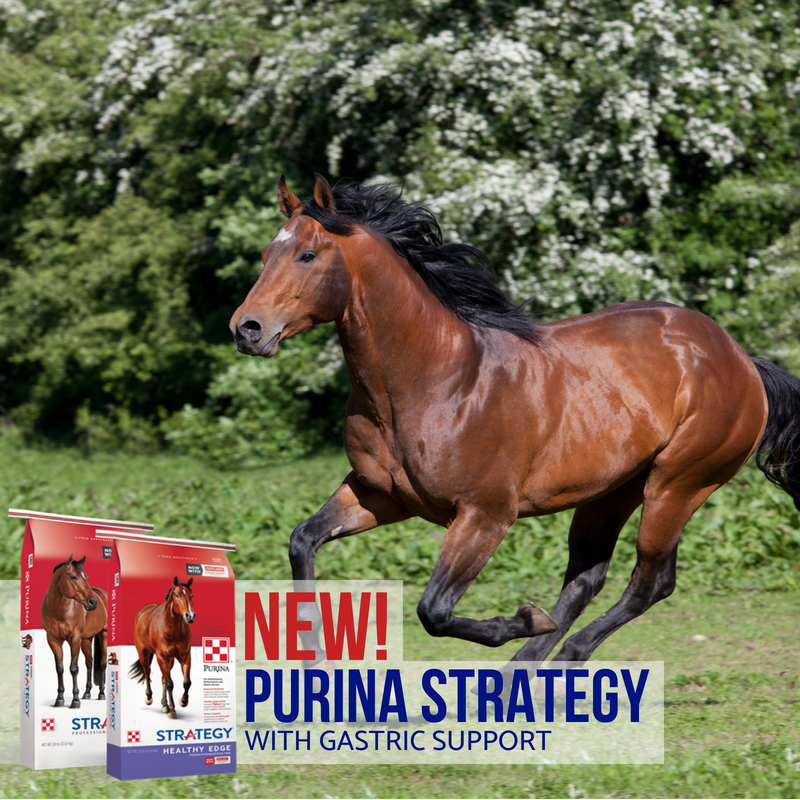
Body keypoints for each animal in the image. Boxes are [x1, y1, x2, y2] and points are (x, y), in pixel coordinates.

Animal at [41, 555, 107, 708]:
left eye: (86, 576)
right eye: (73, 577)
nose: (93, 602)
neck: (59, 611)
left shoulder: (74, 639)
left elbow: (74, 668)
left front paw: (75, 700)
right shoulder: (53, 639)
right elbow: (59, 667)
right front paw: (59, 699)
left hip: (103, 634)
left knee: (102, 662)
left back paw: (101, 694)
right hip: (87, 639)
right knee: (89, 662)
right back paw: (87, 693)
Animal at [130, 577, 195, 719]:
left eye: (191, 595)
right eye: (177, 595)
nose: (190, 616)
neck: (171, 629)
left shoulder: (185, 656)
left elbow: (186, 682)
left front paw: (183, 701)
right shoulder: (161, 656)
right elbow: (170, 683)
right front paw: (173, 710)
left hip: (170, 660)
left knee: (164, 678)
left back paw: (165, 704)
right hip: (144, 654)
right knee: (147, 672)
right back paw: (150, 698)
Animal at [230, 174, 800, 675]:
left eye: (307, 255)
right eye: (265, 255)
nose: (247, 329)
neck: (434, 380)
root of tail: (742, 360)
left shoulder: (484, 516)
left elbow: (434, 611)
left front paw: (523, 619)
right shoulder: (381, 495)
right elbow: (303, 540)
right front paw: (316, 666)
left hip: (677, 485)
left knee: (649, 582)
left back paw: (558, 661)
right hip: (611, 491)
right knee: (587, 578)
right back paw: (519, 675)